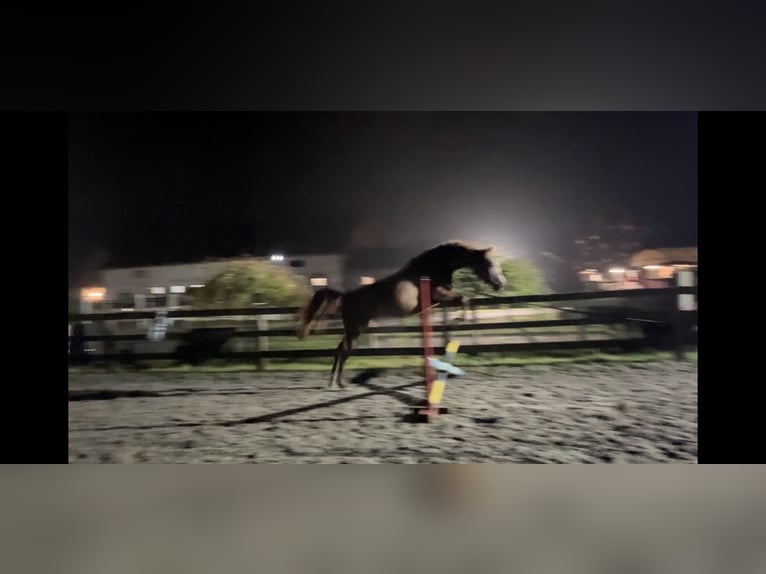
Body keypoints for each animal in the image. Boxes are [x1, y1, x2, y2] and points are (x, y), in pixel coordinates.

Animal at [296, 240, 507, 389]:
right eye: (489, 263)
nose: (500, 284)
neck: (431, 268)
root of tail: (346, 296)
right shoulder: (439, 295)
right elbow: (464, 299)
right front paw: (458, 320)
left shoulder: (438, 301)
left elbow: (465, 300)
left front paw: (457, 320)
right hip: (354, 329)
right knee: (343, 352)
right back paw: (338, 383)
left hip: (356, 329)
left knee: (339, 350)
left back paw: (333, 382)